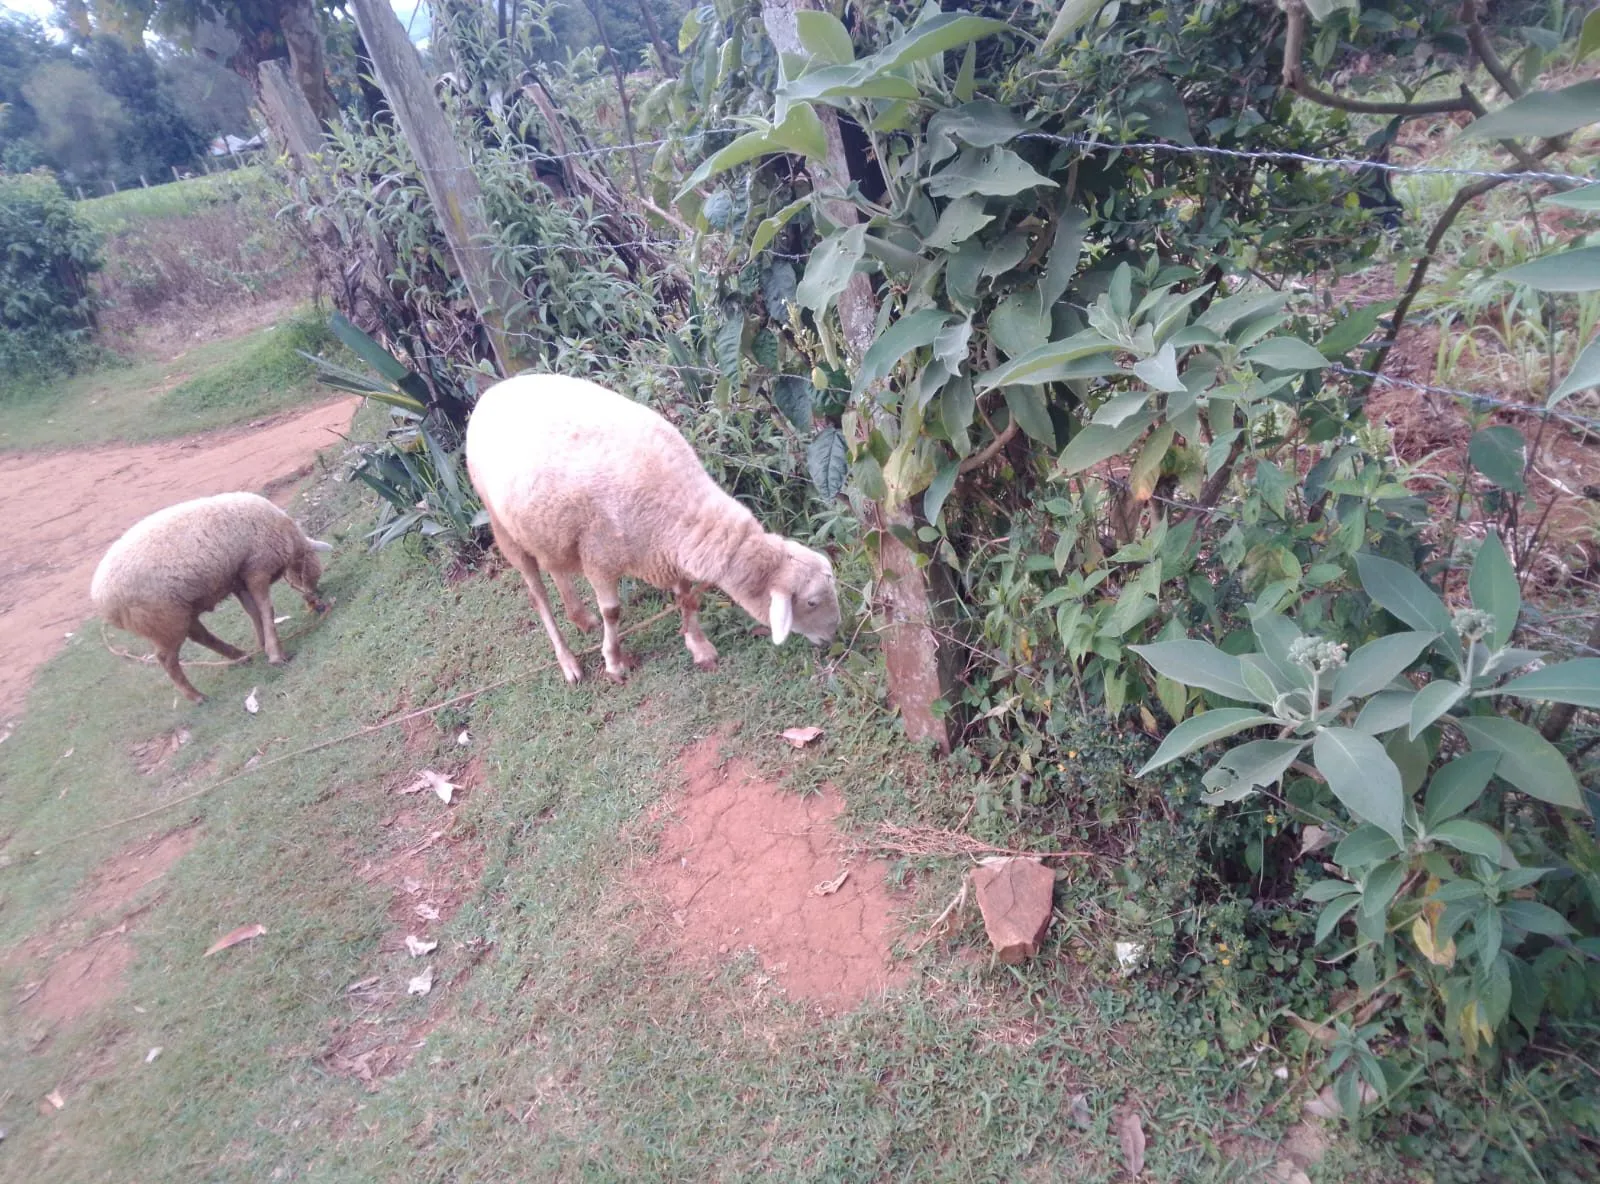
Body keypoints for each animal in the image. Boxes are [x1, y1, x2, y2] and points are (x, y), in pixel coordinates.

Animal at [91, 492, 333, 703]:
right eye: (314, 572)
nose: (318, 598)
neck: (287, 537)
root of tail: (103, 604)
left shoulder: (239, 579)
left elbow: (253, 612)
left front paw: (263, 642)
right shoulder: (256, 568)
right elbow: (266, 609)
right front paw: (275, 653)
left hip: (179, 614)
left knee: (201, 636)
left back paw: (239, 656)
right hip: (164, 620)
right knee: (167, 659)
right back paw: (197, 696)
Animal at [465, 374, 840, 683]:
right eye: (810, 602)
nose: (835, 636)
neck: (679, 504)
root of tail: (493, 392)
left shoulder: (669, 551)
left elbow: (687, 598)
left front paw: (699, 647)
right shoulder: (599, 556)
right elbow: (613, 612)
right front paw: (614, 662)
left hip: (548, 529)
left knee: (556, 567)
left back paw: (582, 619)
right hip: (503, 527)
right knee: (538, 594)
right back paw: (568, 661)